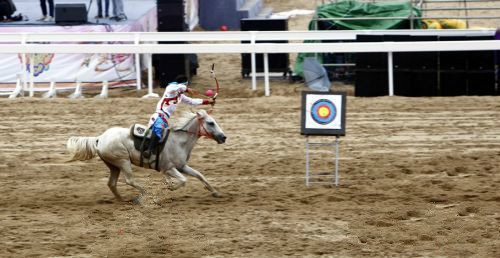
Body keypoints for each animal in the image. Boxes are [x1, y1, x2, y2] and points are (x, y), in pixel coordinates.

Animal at [65, 109, 226, 202]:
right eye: (211, 123)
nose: (224, 137)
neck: (179, 141)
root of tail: (100, 138)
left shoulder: (182, 166)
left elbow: (199, 175)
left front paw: (215, 192)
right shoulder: (169, 168)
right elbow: (183, 180)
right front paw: (170, 187)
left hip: (113, 165)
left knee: (111, 183)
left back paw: (122, 199)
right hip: (123, 161)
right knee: (129, 180)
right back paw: (145, 194)